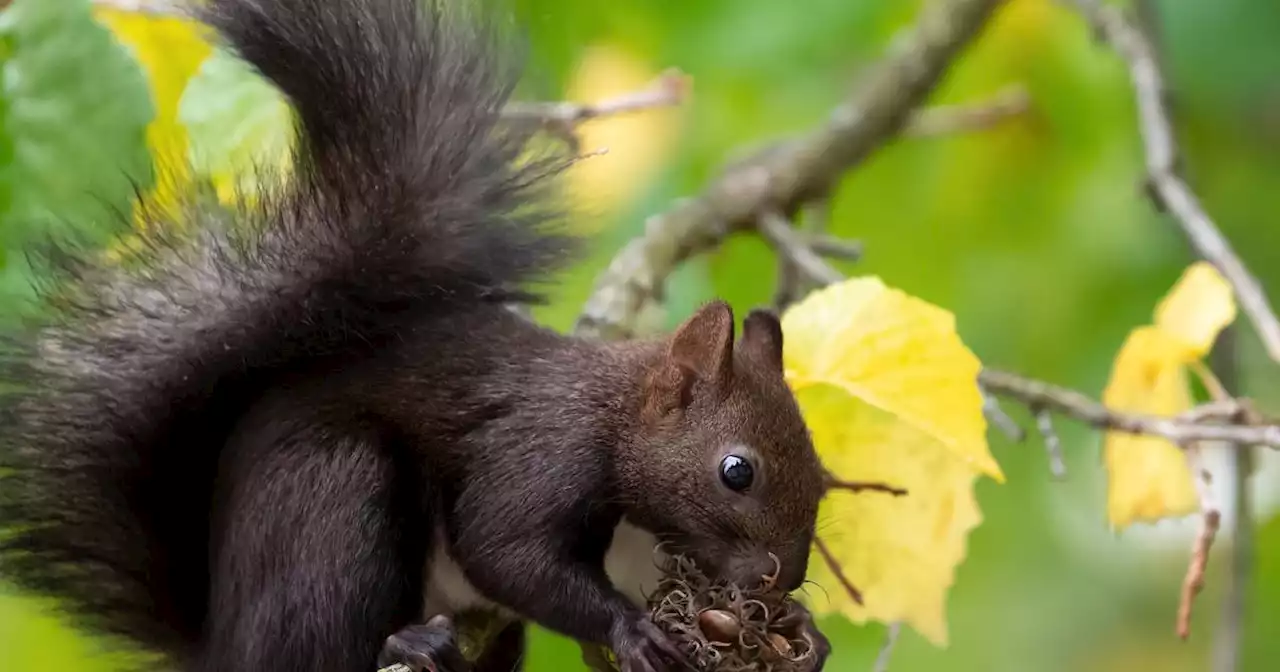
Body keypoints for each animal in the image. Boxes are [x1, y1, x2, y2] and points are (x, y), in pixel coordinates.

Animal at [0, 1, 829, 670]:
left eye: (823, 472)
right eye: (736, 471)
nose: (780, 578)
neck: (617, 416)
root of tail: (222, 646)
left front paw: (798, 630)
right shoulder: (536, 452)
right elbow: (505, 551)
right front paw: (630, 628)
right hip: (333, 497)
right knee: (315, 646)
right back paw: (405, 641)